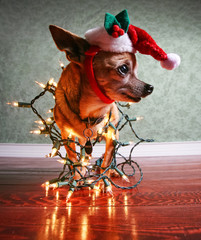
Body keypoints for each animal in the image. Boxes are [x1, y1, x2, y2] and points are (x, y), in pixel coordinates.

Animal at [49, 25, 153, 179]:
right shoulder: (66, 134)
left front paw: (104, 180)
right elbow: (73, 159)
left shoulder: (112, 135)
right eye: (123, 69)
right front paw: (78, 178)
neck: (91, 110)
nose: (150, 87)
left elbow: (107, 161)